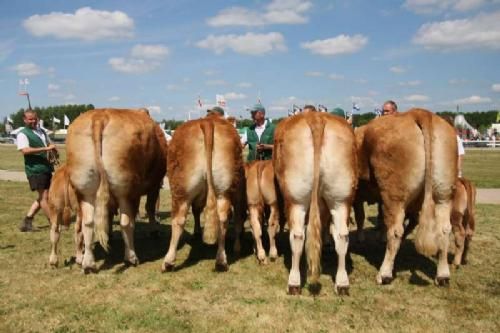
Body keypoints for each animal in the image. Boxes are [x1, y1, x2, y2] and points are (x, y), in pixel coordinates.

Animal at [63, 107, 166, 272]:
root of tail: (100, 116)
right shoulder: (154, 186)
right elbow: (149, 208)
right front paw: (154, 231)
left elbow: (108, 214)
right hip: (125, 191)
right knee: (126, 222)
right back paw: (131, 257)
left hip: (84, 190)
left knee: (87, 223)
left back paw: (87, 263)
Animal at [162, 113, 242, 272]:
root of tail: (207, 122)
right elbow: (198, 210)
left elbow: (195, 210)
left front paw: (197, 232)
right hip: (224, 190)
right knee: (223, 218)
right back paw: (221, 261)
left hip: (180, 190)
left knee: (178, 220)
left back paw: (168, 262)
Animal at [272, 111, 358, 294]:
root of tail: (316, 118)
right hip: (341, 198)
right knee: (342, 236)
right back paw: (342, 283)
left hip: (296, 200)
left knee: (297, 236)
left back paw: (294, 283)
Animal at [356, 109, 458, 286]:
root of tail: (416, 112)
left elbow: (360, 217)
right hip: (444, 195)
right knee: (444, 229)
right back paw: (442, 275)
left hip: (393, 196)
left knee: (396, 231)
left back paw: (384, 273)